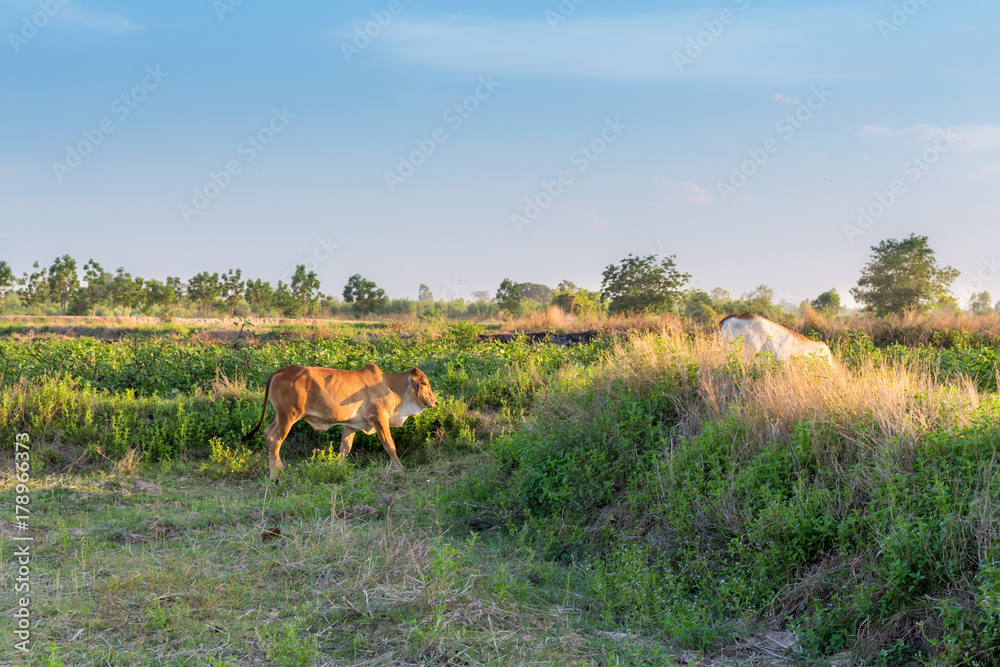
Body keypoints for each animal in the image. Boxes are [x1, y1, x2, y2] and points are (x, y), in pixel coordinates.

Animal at [242, 364, 438, 478]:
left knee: (268, 433)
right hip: (288, 417)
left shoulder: (351, 425)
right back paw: (276, 475)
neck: (389, 385)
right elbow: (390, 446)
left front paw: (338, 469)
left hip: (281, 417)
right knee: (275, 440)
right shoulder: (379, 419)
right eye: (424, 383)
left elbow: (344, 449)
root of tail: (279, 372)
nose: (435, 402)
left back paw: (277, 470)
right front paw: (401, 469)